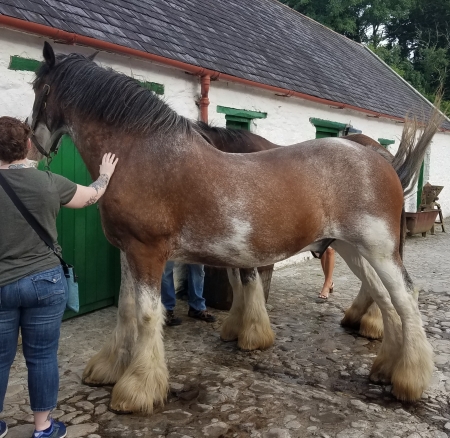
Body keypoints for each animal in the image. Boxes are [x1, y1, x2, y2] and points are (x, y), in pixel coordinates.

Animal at [31, 42, 442, 412]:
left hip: (379, 250)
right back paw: (385, 367)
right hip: (351, 248)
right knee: (384, 298)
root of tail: (380, 161)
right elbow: (127, 309)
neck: (139, 153)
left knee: (405, 298)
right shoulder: (128, 252)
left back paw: (410, 380)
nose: (34, 143)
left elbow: (148, 315)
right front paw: (110, 368)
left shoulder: (147, 252)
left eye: (38, 88)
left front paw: (137, 390)